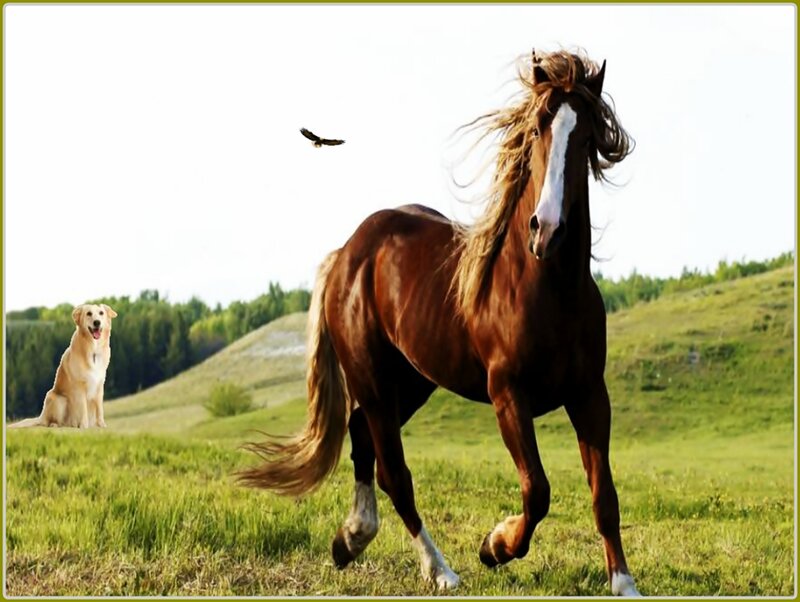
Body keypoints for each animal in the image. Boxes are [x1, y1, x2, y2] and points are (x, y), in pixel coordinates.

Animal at [238, 48, 638, 596]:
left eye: (587, 136)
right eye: (537, 128)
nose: (546, 230)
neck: (546, 289)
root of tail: (348, 252)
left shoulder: (590, 394)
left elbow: (605, 495)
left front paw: (623, 581)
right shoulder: (507, 395)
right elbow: (537, 490)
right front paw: (494, 546)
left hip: (411, 382)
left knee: (362, 438)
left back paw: (351, 539)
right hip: (374, 381)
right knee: (394, 473)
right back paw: (441, 570)